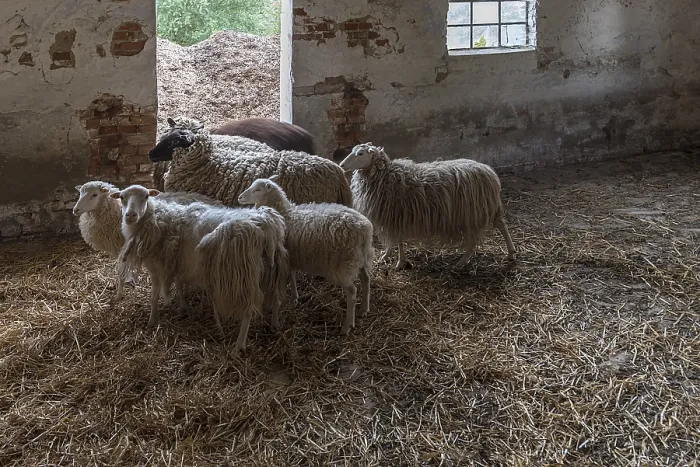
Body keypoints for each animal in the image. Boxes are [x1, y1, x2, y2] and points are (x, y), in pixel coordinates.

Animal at [112, 185, 288, 353]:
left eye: (146, 196)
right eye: (122, 197)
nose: (130, 215)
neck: (156, 219)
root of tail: (264, 223)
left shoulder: (156, 267)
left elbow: (154, 297)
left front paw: (152, 321)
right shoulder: (181, 262)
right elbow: (179, 285)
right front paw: (183, 308)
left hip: (241, 273)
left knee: (248, 311)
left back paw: (239, 346)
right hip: (273, 268)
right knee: (276, 298)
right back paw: (275, 324)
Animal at [238, 175, 374, 336]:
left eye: (257, 189)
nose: (240, 197)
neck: (285, 213)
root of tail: (365, 229)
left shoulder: (283, 257)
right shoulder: (290, 256)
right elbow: (292, 274)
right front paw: (295, 296)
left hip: (342, 265)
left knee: (352, 292)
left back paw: (347, 327)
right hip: (361, 258)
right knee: (366, 279)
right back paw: (364, 309)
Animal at [338, 143, 516, 269]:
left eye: (360, 154)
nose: (341, 165)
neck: (386, 175)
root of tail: (490, 173)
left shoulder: (396, 216)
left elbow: (398, 241)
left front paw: (399, 263)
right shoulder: (392, 217)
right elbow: (392, 242)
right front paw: (385, 257)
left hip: (472, 213)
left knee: (474, 241)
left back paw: (460, 263)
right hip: (486, 208)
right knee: (502, 225)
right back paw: (511, 253)